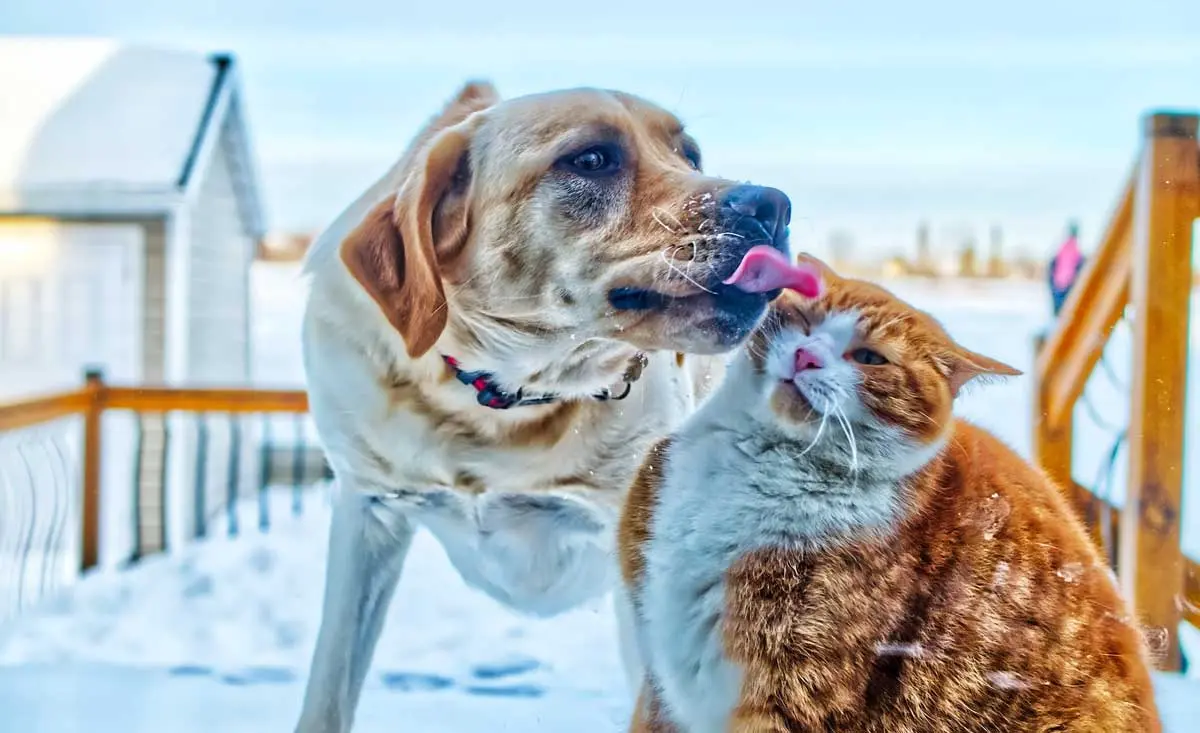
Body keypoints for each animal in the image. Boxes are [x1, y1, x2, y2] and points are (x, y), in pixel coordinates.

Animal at [294, 83, 792, 729]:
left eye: (690, 155)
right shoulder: (367, 511)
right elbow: (329, 690)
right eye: (591, 159)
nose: (774, 206)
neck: (504, 402)